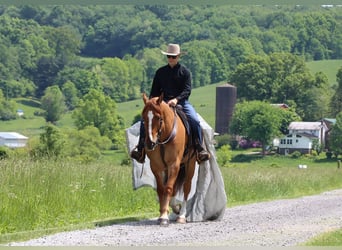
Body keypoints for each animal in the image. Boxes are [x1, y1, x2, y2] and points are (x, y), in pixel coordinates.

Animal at [140, 93, 196, 226]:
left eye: (158, 118)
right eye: (143, 118)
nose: (149, 143)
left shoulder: (174, 164)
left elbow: (169, 188)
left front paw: (165, 216)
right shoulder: (156, 167)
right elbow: (162, 189)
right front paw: (163, 214)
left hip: (189, 165)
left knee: (186, 187)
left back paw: (182, 215)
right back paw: (176, 208)